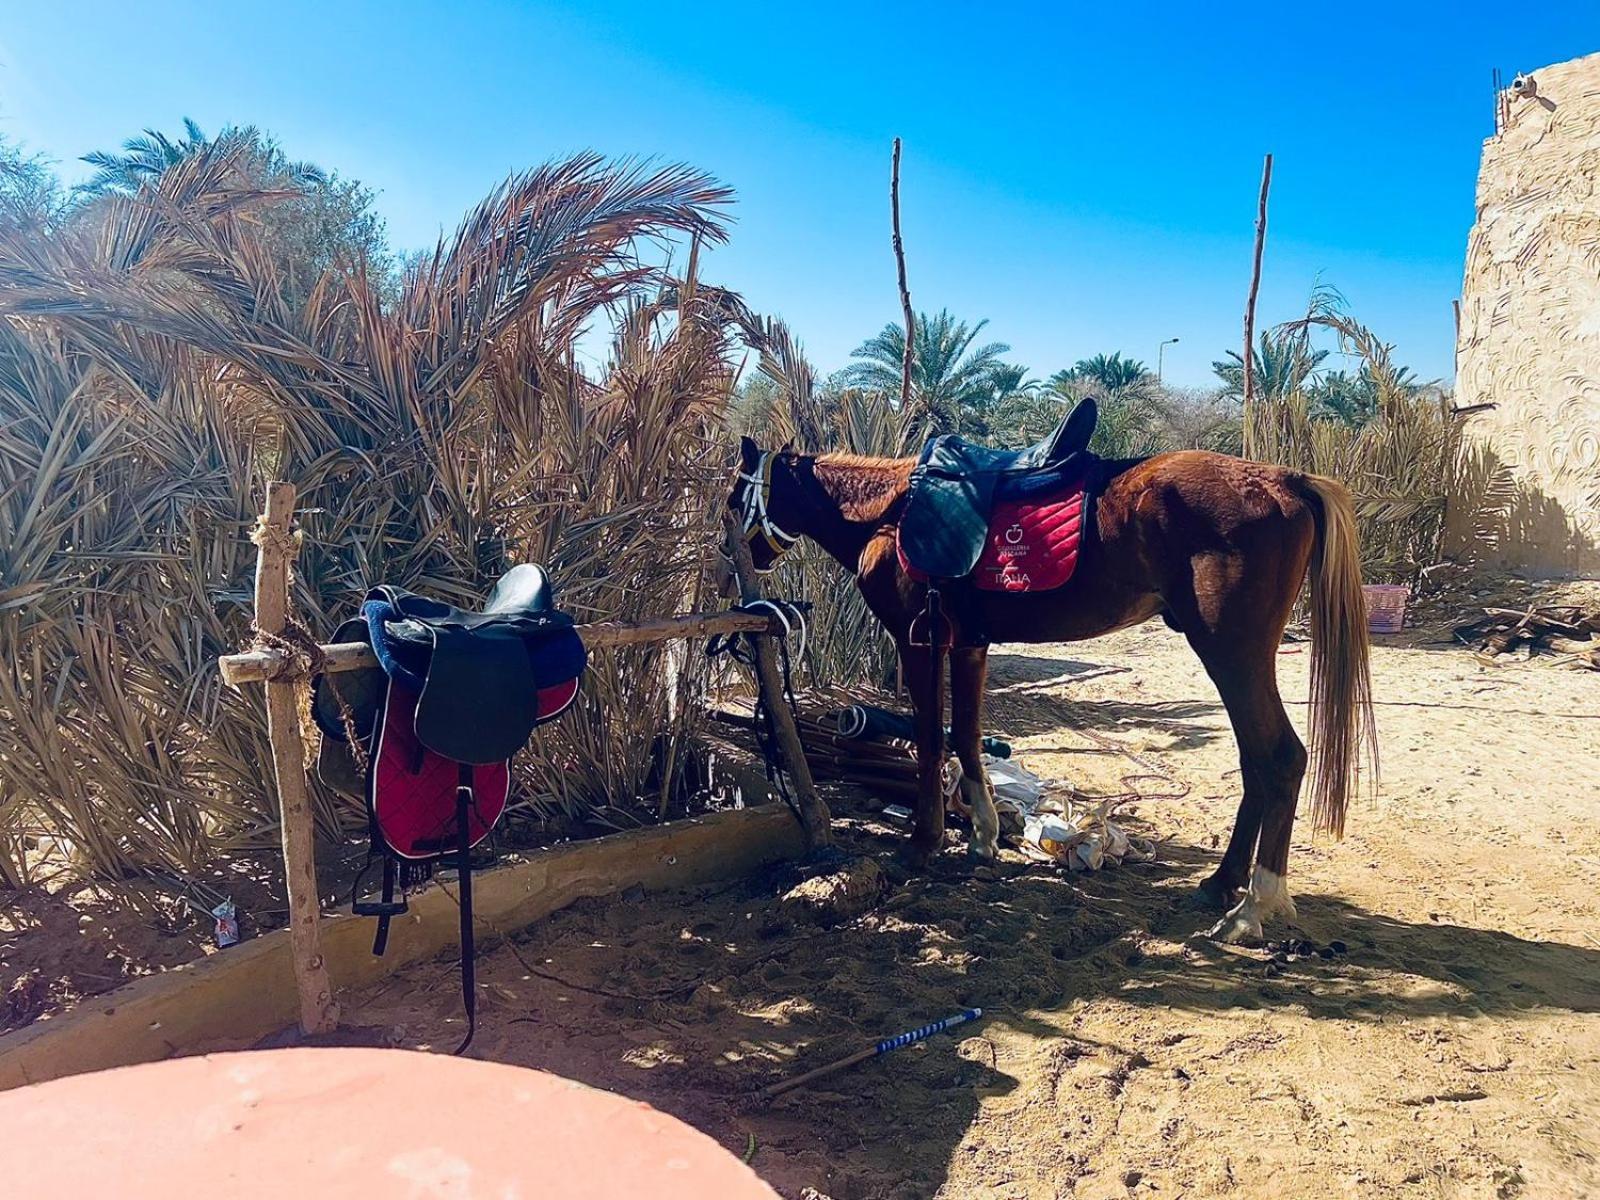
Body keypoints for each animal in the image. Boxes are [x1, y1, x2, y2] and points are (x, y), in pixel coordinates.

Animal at [732, 428, 1382, 947]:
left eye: (737, 494)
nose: (735, 554)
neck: (889, 515)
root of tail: (1285, 481)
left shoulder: (918, 644)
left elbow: (931, 743)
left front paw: (921, 843)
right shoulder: (969, 645)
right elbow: (966, 739)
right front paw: (983, 839)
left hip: (1232, 654)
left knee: (1279, 758)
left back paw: (1252, 909)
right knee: (1256, 762)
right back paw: (1221, 885)